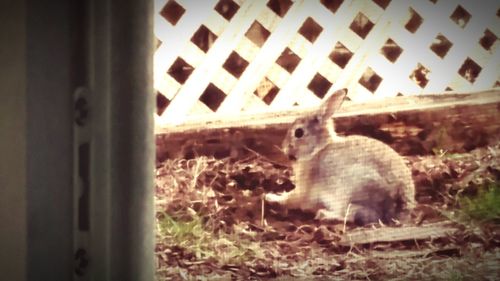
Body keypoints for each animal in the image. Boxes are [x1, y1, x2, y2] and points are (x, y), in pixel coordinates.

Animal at [268, 88, 416, 224]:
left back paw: (325, 215)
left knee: (352, 215)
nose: (285, 148)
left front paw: (271, 197)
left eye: (298, 132)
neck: (318, 150)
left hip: (351, 192)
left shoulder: (303, 190)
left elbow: (291, 199)